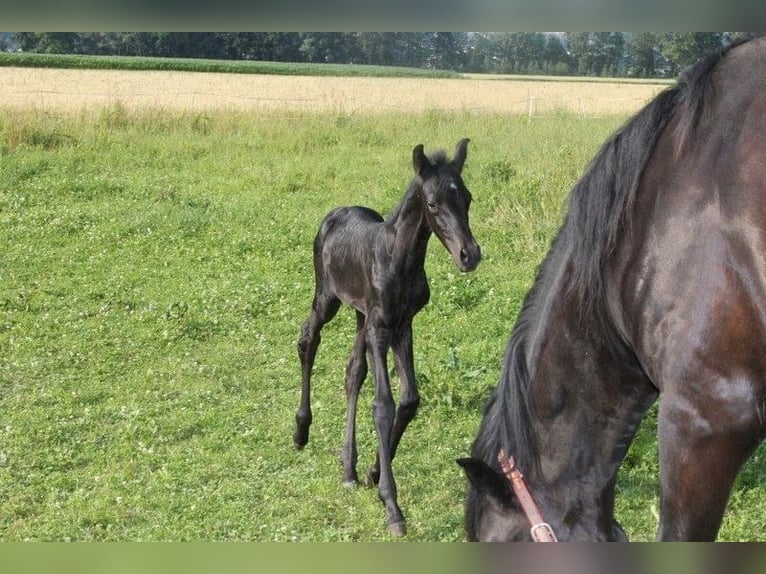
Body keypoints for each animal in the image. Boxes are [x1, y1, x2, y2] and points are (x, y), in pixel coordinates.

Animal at [294, 141, 480, 540]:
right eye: (433, 204)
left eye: (468, 198)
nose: (469, 255)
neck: (400, 260)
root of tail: (337, 212)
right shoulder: (381, 327)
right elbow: (383, 405)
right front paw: (392, 506)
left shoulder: (402, 324)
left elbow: (409, 399)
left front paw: (372, 471)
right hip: (328, 298)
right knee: (307, 339)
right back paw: (300, 432)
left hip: (360, 316)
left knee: (352, 371)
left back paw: (348, 468)